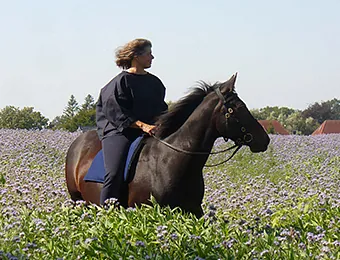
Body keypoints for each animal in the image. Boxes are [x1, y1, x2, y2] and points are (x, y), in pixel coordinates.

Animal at [65, 73, 270, 217]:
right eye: (237, 109)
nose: (264, 139)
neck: (174, 160)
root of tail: (77, 143)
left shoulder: (193, 210)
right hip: (77, 201)